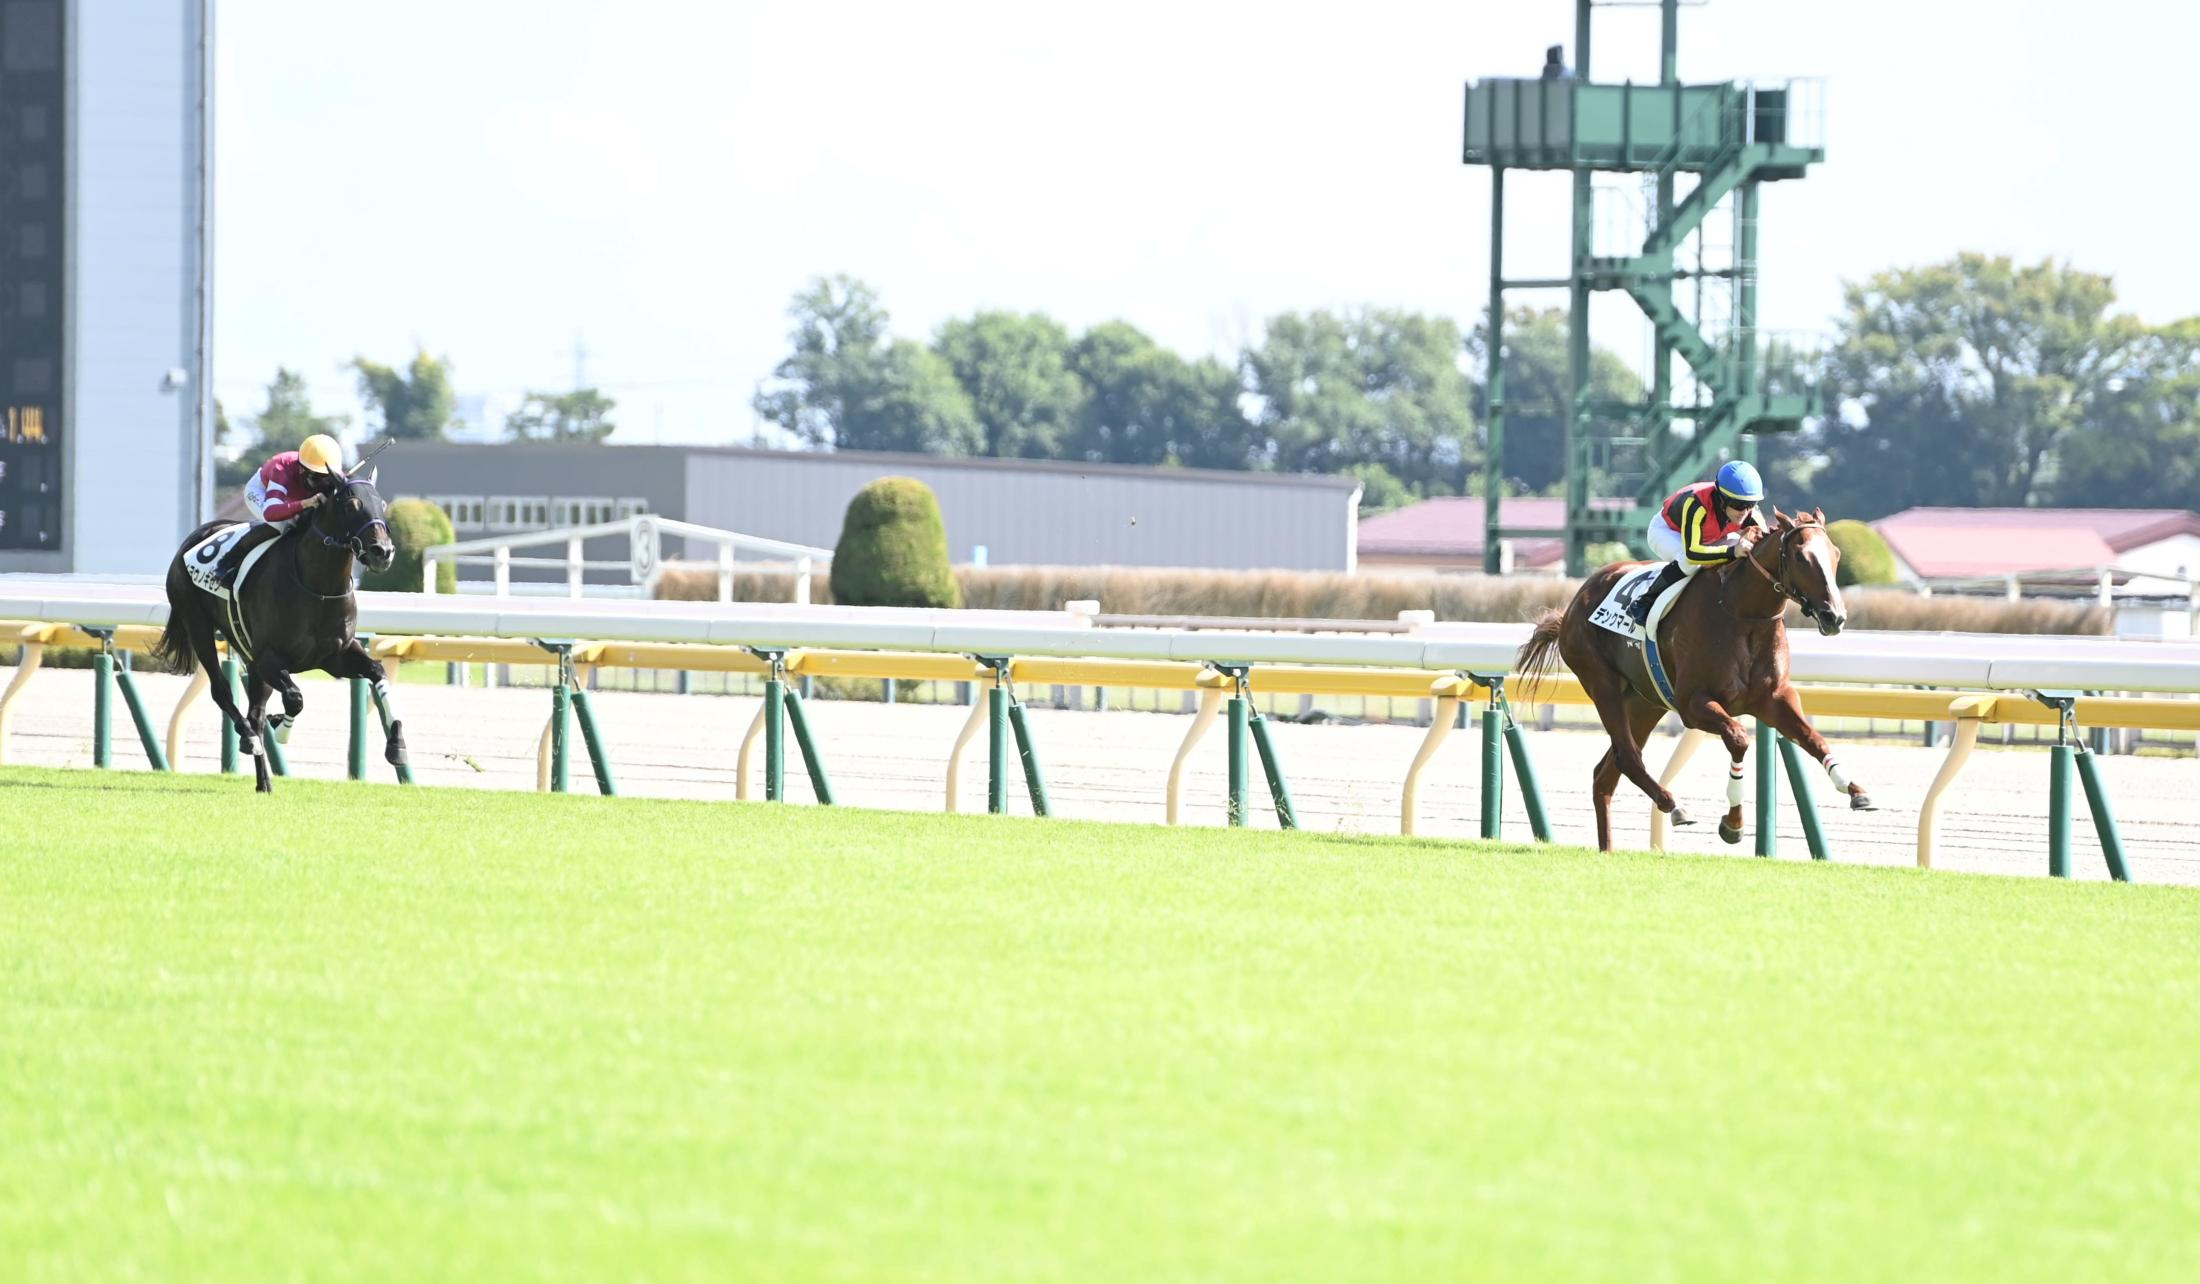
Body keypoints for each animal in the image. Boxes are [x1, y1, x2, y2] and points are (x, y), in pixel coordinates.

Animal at [152, 474, 407, 791]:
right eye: (352, 505)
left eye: (381, 504)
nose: (382, 552)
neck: (318, 588)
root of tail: (193, 537)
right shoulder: (269, 658)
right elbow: (295, 699)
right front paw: (282, 729)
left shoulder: (336, 657)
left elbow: (377, 672)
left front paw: (397, 745)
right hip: (197, 624)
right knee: (223, 692)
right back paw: (249, 738)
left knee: (255, 713)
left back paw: (264, 780)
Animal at [1531, 510, 1874, 853]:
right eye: (1801, 557)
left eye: (1836, 555)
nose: (1834, 617)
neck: (1740, 613)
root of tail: (1577, 601)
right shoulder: (1693, 704)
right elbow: (1738, 739)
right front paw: (1733, 824)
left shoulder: (1774, 699)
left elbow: (1813, 738)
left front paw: (1855, 789)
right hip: (1602, 684)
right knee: (1627, 756)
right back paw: (1675, 807)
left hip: (1645, 703)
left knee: (1606, 773)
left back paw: (1608, 848)